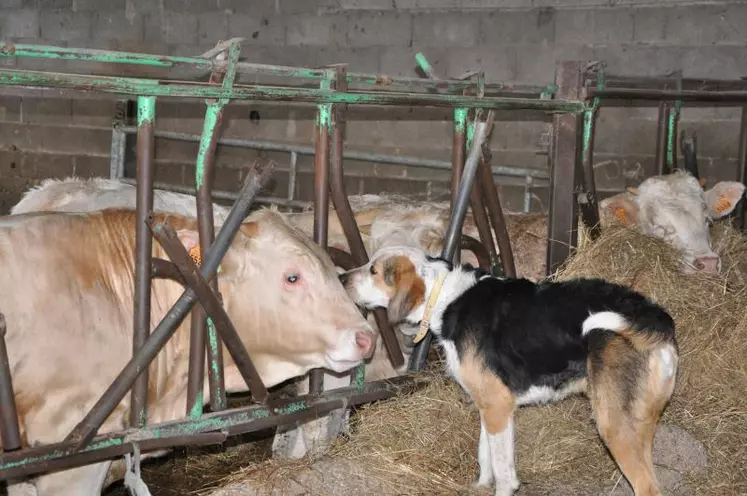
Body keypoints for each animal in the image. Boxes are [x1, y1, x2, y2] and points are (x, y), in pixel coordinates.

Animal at [342, 246, 680, 496]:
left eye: (373, 271)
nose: (342, 276)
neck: (445, 298)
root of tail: (654, 317)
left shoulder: (498, 405)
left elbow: (504, 473)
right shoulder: (489, 406)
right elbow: (485, 456)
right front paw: (479, 486)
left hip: (614, 425)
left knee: (647, 486)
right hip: (640, 423)